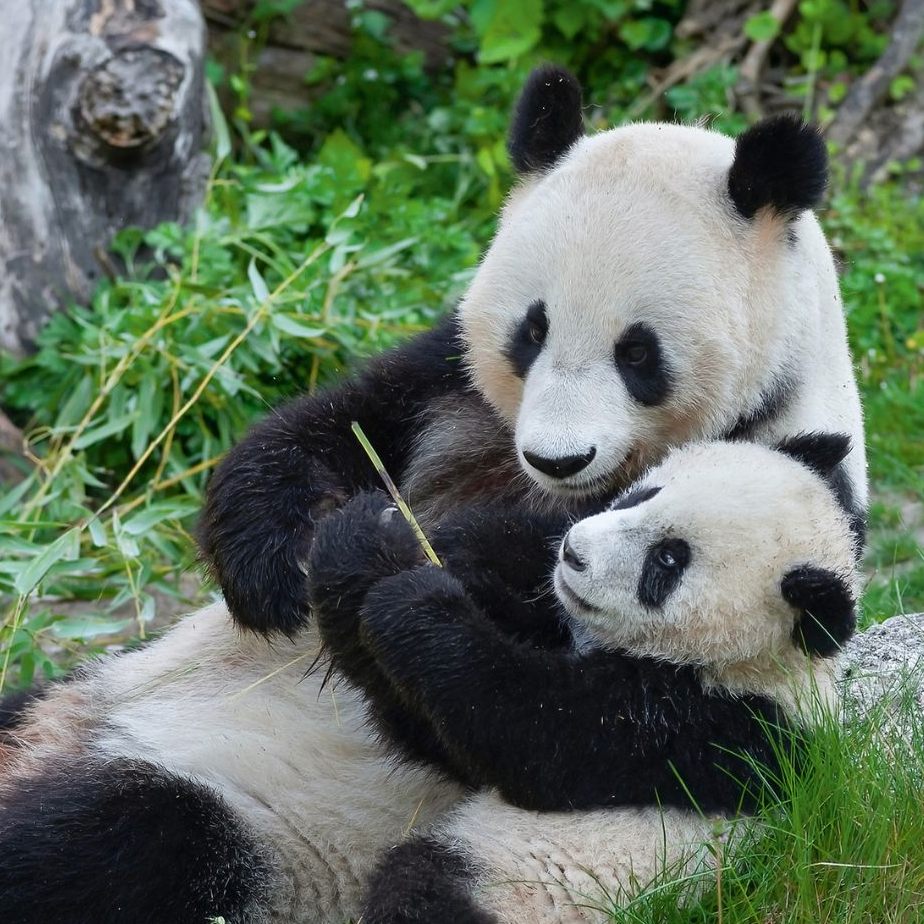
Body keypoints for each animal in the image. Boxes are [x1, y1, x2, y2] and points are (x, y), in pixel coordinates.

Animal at [198, 65, 867, 640]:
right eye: (533, 331)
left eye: (638, 354)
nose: (558, 459)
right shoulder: (448, 384)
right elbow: (341, 422)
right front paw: (273, 568)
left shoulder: (781, 457)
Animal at [305, 435, 860, 924]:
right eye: (643, 493)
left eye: (667, 560)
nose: (572, 553)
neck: (756, 663)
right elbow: (430, 729)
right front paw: (366, 540)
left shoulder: (713, 731)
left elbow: (524, 729)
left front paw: (416, 603)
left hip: (518, 887)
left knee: (420, 891)